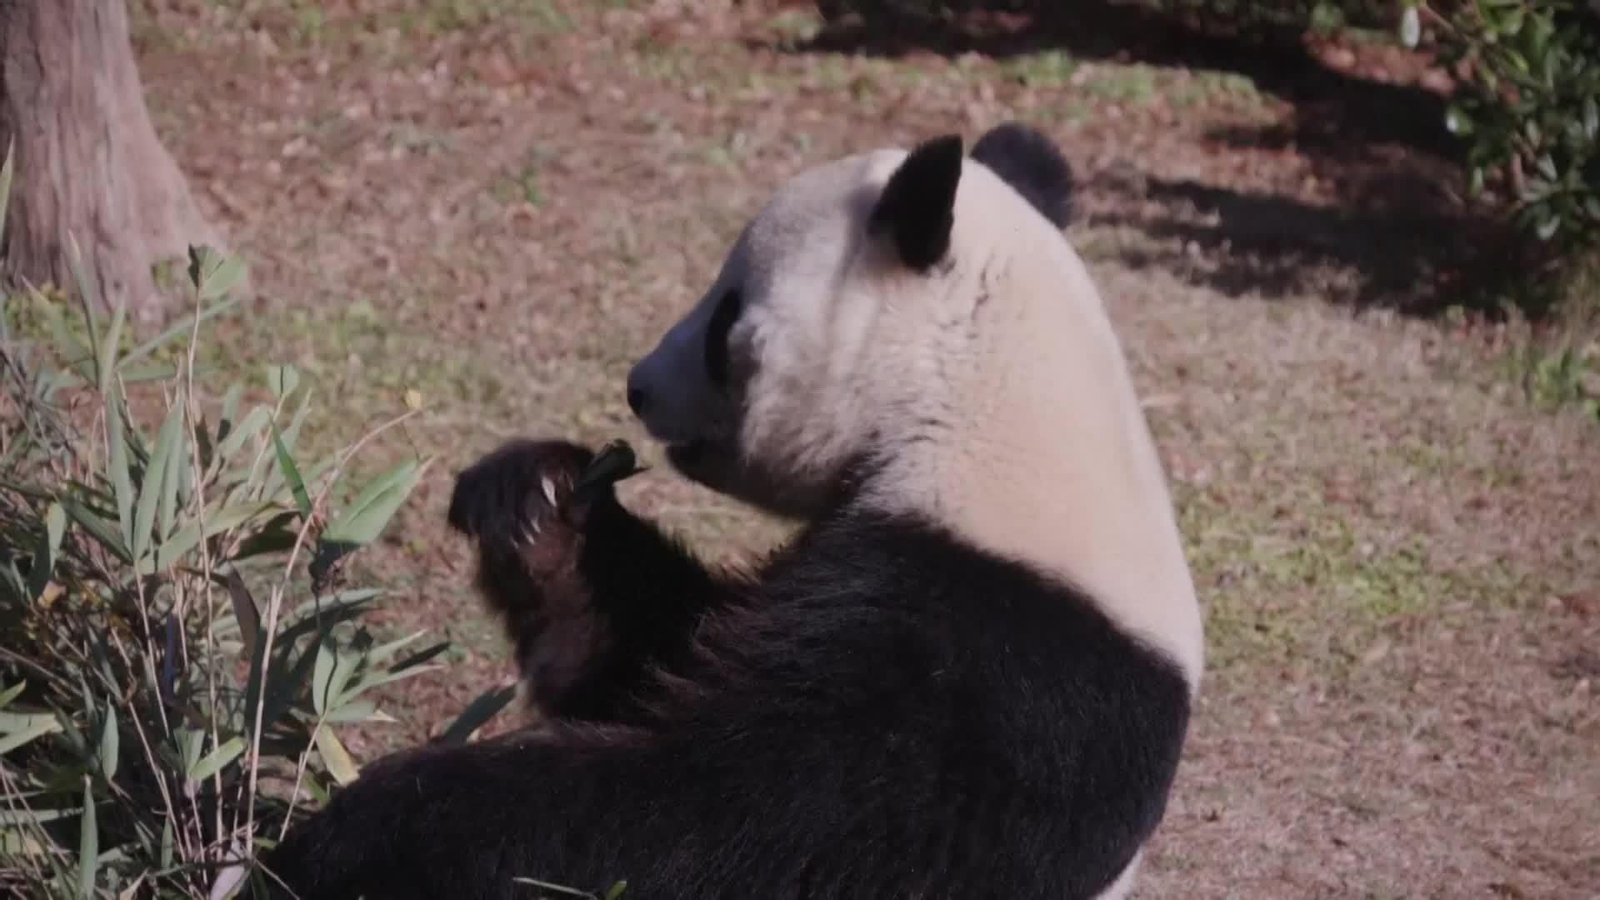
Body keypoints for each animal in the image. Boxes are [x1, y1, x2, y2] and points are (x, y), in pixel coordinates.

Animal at [258, 121, 1203, 900]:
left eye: (725, 315)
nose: (638, 386)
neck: (978, 400)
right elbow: (651, 653)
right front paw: (541, 503)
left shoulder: (990, 655)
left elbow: (739, 816)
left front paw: (363, 834)